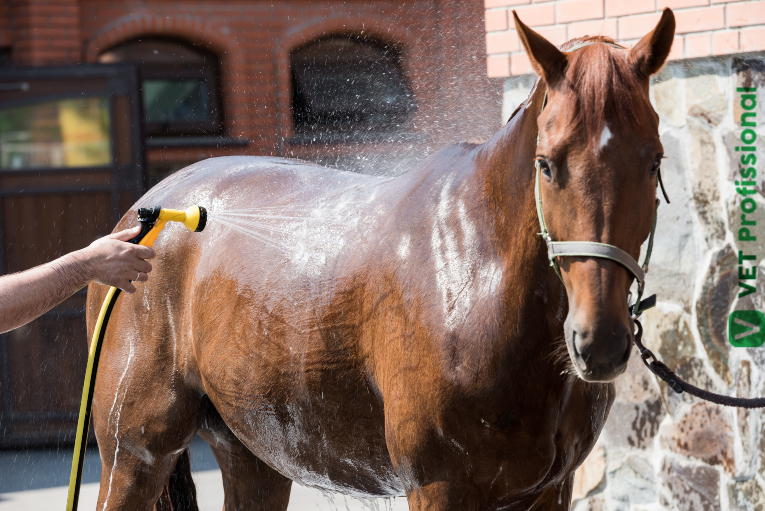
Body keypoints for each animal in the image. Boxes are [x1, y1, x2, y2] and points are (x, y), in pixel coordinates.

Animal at [86, 9, 676, 511]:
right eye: (547, 164)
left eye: (654, 161)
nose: (599, 341)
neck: (477, 280)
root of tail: (150, 212)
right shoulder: (439, 487)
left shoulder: (551, 489)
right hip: (132, 455)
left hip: (253, 453)